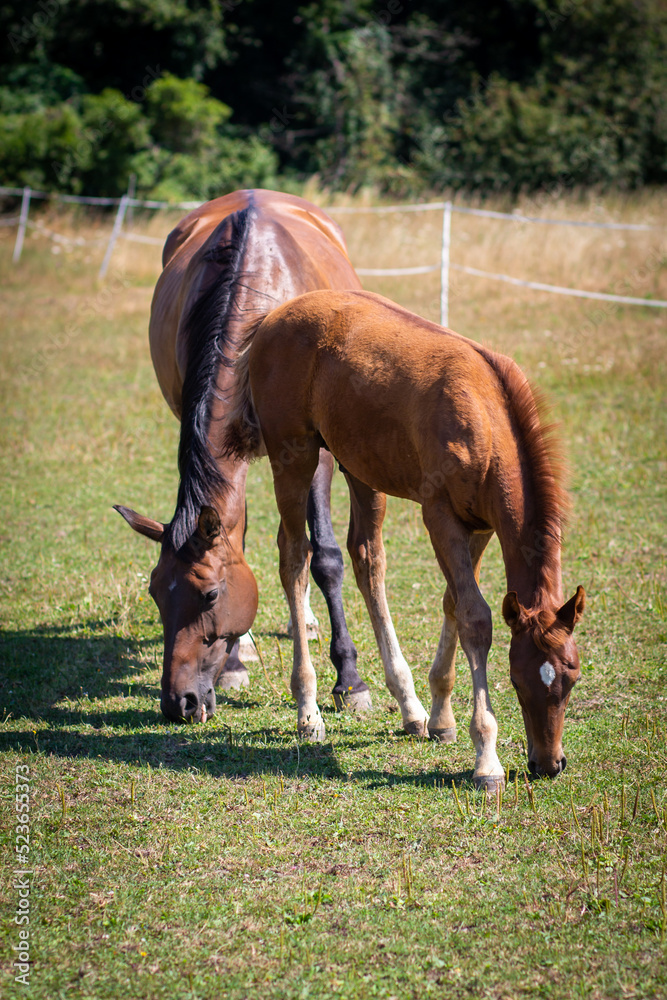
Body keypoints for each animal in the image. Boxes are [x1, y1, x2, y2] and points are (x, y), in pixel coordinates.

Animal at [114, 189, 374, 723]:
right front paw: (234, 663)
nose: (179, 702)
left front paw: (350, 680)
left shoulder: (314, 454)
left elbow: (326, 557)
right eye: (154, 593)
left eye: (210, 594)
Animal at [225, 288, 586, 790]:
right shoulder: (439, 515)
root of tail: (276, 314)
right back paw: (308, 710)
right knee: (295, 558)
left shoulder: (480, 525)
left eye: (571, 678)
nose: (549, 764)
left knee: (366, 560)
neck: (485, 414)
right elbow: (475, 617)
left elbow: (453, 603)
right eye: (517, 679)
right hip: (293, 456)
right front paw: (487, 758)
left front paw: (441, 717)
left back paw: (409, 707)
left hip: (358, 466)